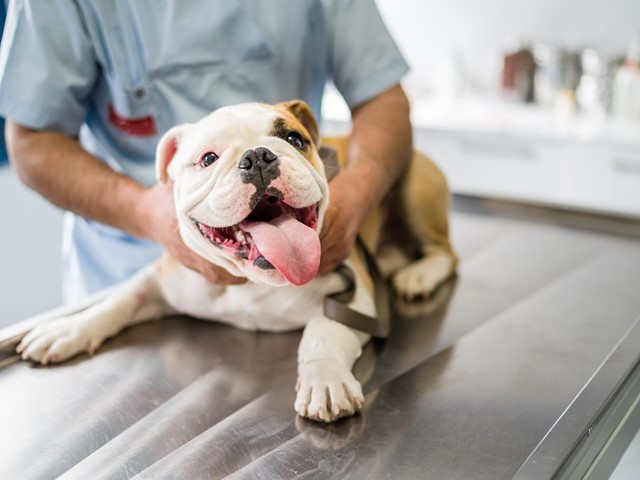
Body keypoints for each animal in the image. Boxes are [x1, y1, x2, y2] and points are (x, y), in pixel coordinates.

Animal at [15, 100, 456, 420]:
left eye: (293, 139)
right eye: (208, 159)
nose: (258, 156)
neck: (253, 281)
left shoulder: (355, 291)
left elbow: (323, 331)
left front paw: (324, 378)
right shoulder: (163, 279)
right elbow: (120, 300)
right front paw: (69, 328)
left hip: (415, 186)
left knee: (445, 252)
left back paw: (419, 276)